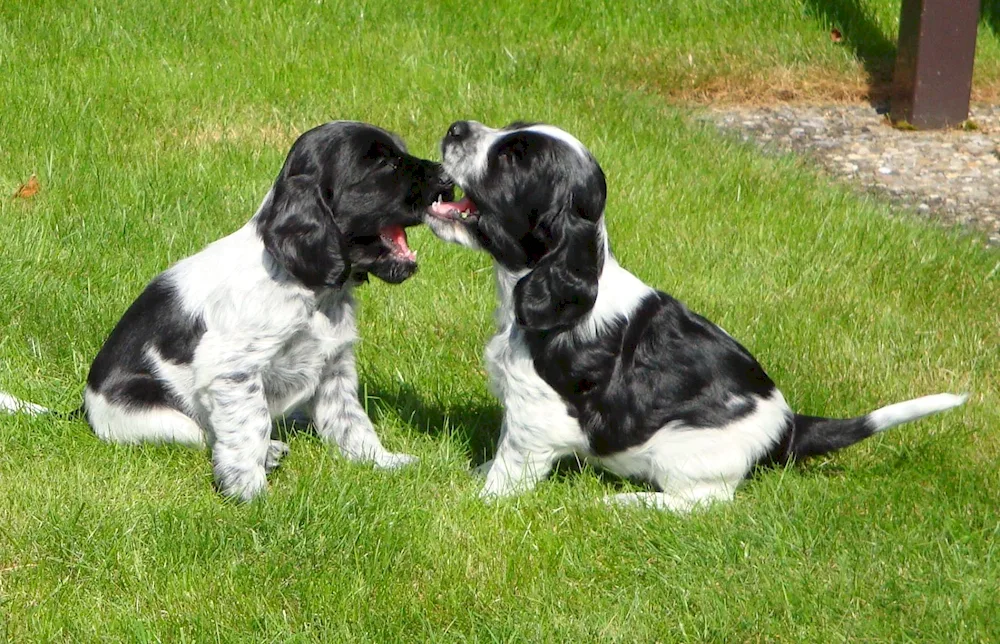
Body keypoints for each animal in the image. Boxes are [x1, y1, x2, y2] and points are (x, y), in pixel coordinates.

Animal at [0, 121, 454, 504]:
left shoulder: (334, 367)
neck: (309, 290)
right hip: (160, 416)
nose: (449, 180)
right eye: (382, 163)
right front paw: (249, 492)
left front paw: (382, 461)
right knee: (205, 434)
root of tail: (83, 409)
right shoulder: (233, 371)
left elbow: (351, 421)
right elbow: (250, 426)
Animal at [424, 119, 968, 512]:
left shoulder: (538, 416)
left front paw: (475, 498)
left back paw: (625, 502)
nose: (456, 127)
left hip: (684, 452)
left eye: (513, 157)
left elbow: (509, 466)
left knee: (702, 502)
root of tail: (789, 425)